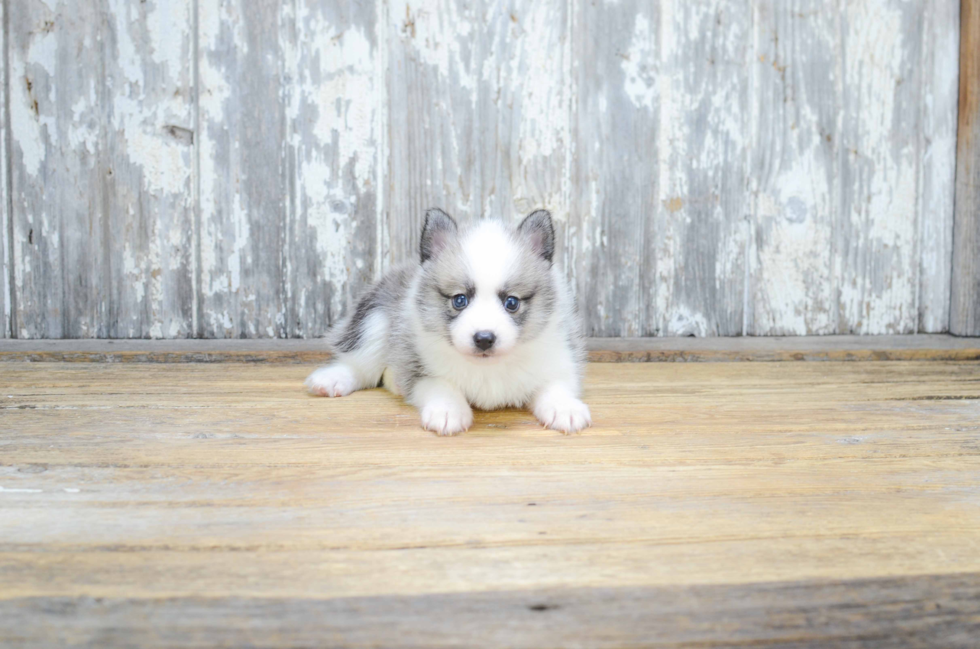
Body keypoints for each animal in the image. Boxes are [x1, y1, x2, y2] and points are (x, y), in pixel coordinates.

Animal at [302, 208, 588, 436]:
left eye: (512, 303)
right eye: (459, 300)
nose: (484, 339)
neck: (488, 369)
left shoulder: (559, 360)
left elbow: (556, 386)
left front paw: (565, 408)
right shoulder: (417, 368)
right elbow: (441, 385)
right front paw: (448, 411)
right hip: (375, 319)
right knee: (361, 364)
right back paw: (333, 379)